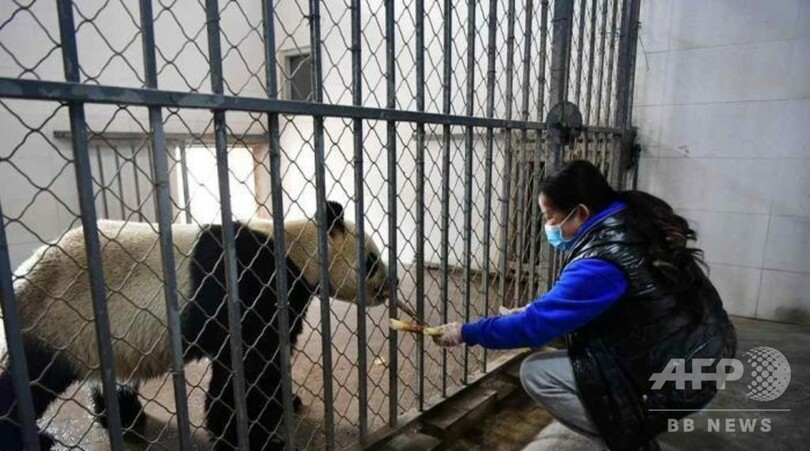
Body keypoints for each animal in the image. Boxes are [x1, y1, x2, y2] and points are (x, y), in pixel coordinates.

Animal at [0, 200, 390, 451]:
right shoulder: (248, 285)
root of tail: (22, 273)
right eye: (372, 260)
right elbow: (247, 365)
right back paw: (30, 438)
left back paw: (125, 419)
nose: (391, 285)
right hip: (53, 318)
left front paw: (285, 404)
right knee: (27, 381)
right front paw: (250, 436)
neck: (295, 248)